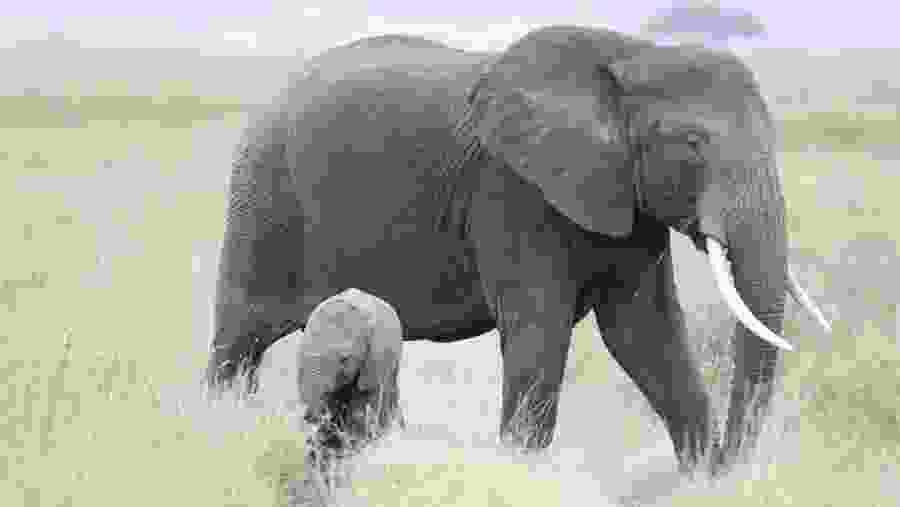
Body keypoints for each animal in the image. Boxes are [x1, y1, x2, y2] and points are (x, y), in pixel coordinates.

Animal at [206, 26, 831, 476]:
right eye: (694, 145)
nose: (730, 460)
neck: (632, 56)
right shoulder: (514, 192)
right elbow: (540, 328)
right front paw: (521, 472)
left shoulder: (629, 203)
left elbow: (644, 333)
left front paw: (702, 481)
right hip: (263, 198)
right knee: (239, 338)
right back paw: (222, 427)